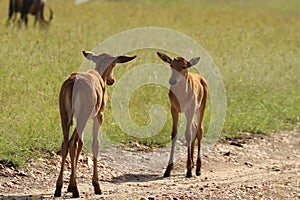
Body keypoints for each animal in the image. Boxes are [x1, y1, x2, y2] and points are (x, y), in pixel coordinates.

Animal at [54, 49, 137, 197]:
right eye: (114, 64)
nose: (112, 80)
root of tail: (72, 83)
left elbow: (81, 144)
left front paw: (69, 186)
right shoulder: (99, 115)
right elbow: (95, 144)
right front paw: (96, 185)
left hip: (65, 116)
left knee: (66, 143)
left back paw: (59, 188)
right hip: (83, 116)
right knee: (72, 143)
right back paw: (76, 190)